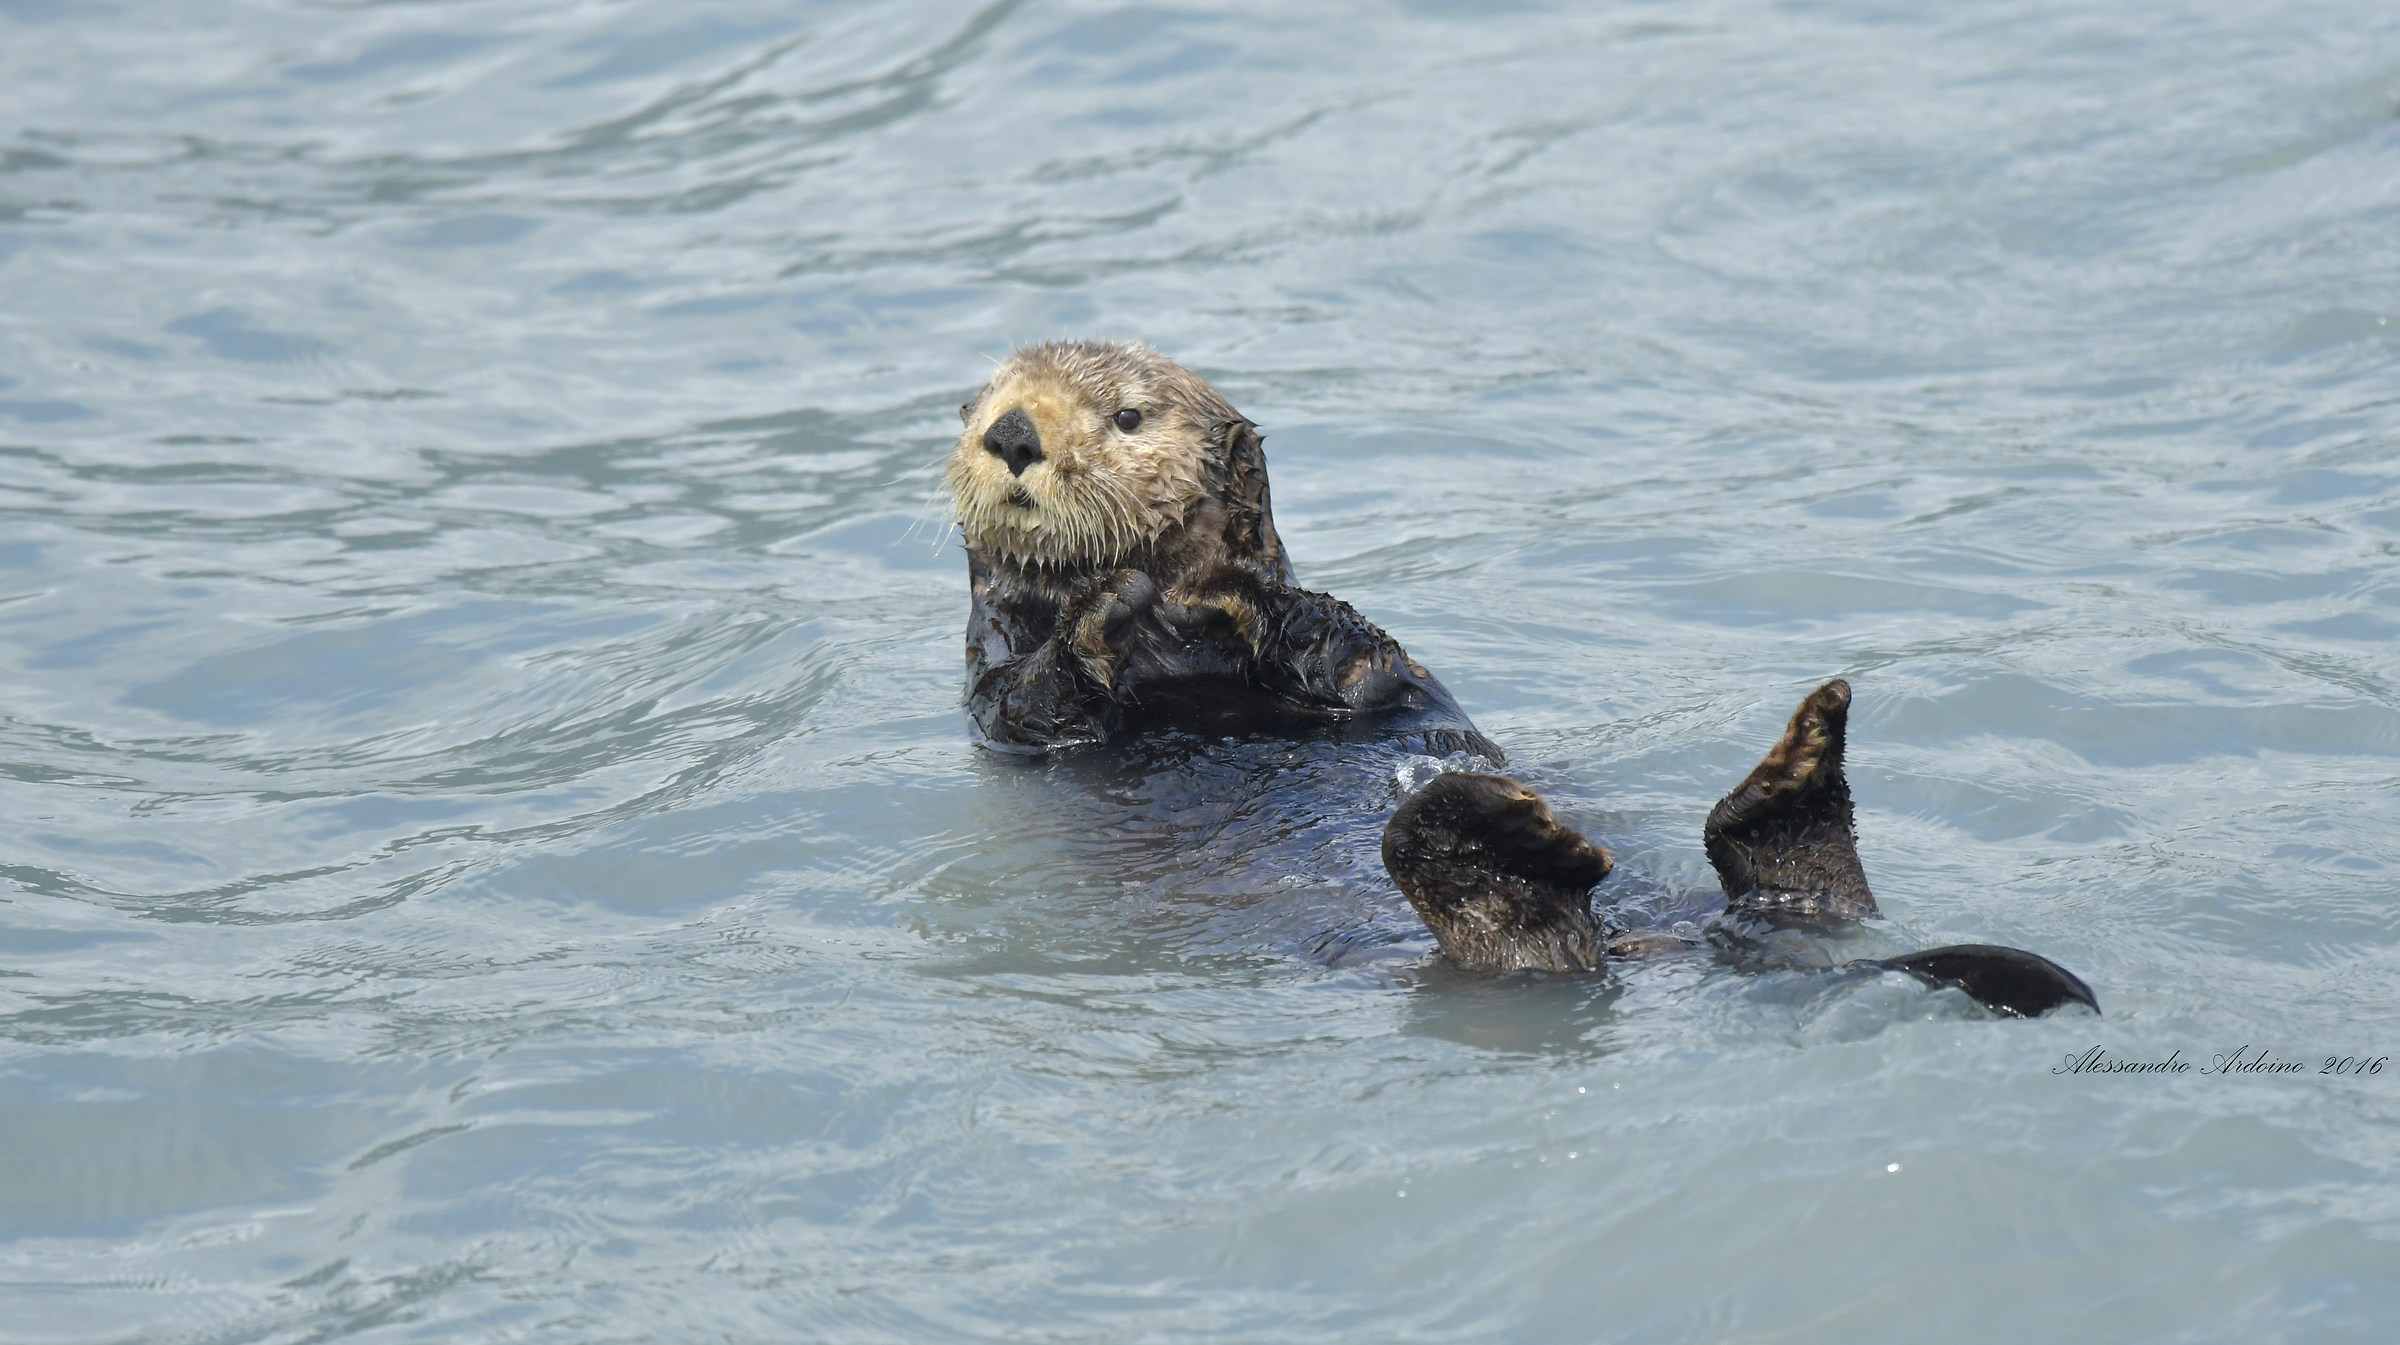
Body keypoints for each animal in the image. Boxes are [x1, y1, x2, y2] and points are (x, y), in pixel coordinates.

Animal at [947, 339, 2095, 1018]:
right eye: (987, 401)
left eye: (1129, 417)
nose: (1012, 431)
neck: (1186, 646)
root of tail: (1671, 941)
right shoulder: (997, 690)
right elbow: (1035, 704)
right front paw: (1107, 605)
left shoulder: (1355, 658)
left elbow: (1360, 663)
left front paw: (1275, 613)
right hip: (1481, 938)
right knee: (1524, 925)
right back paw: (1505, 832)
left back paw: (1799, 767)